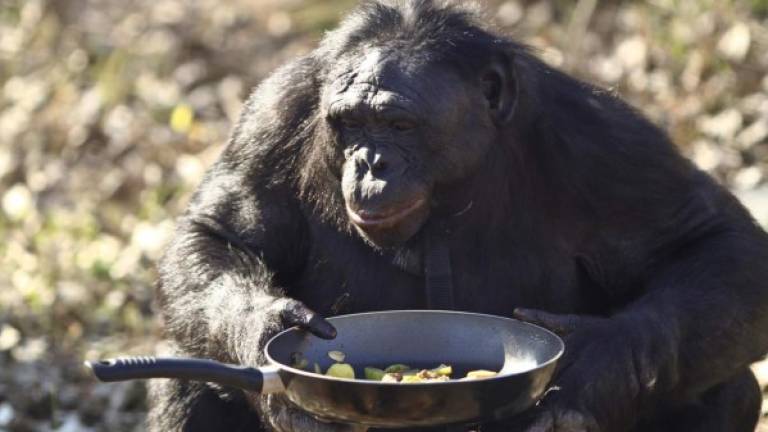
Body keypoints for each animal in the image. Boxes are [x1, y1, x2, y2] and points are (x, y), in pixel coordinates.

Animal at [147, 0, 768, 432]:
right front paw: (268, 330)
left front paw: (598, 364)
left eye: (398, 124)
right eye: (350, 124)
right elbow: (220, 234)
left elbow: (715, 242)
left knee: (726, 387)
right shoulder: (273, 116)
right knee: (189, 379)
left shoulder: (606, 141)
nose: (369, 162)